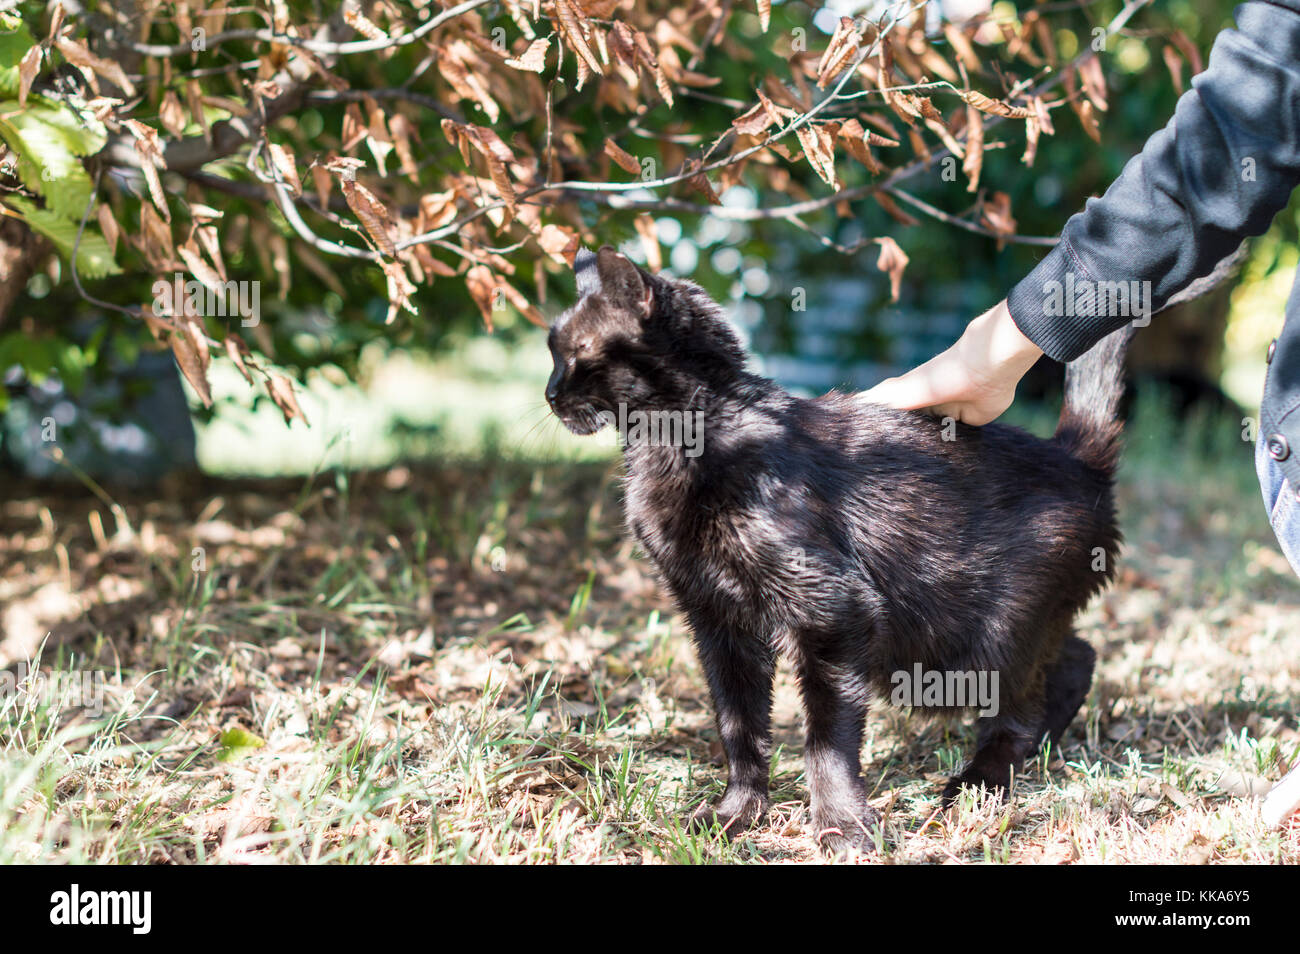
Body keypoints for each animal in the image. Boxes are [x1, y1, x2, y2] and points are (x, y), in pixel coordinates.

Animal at [543, 244, 1123, 852]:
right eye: (552, 350)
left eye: (578, 351)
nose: (551, 394)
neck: (677, 443)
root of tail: (1076, 461)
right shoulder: (716, 620)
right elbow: (737, 725)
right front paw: (736, 813)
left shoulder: (836, 612)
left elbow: (826, 737)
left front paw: (842, 825)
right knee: (1075, 657)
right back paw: (1041, 748)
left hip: (973, 645)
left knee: (1027, 699)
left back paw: (979, 781)